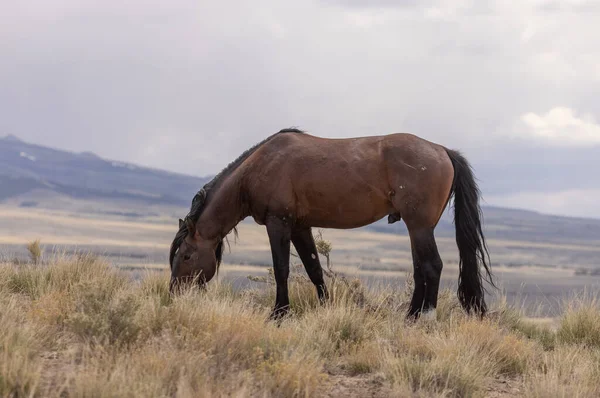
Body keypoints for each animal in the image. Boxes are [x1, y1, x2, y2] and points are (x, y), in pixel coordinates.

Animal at [169, 129, 492, 322]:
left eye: (186, 255)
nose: (172, 295)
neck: (257, 169)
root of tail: (442, 150)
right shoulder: (300, 227)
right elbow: (314, 268)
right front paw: (324, 308)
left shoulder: (278, 224)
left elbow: (282, 269)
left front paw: (279, 313)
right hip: (417, 228)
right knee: (419, 269)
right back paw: (410, 316)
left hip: (420, 226)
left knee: (432, 266)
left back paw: (424, 318)